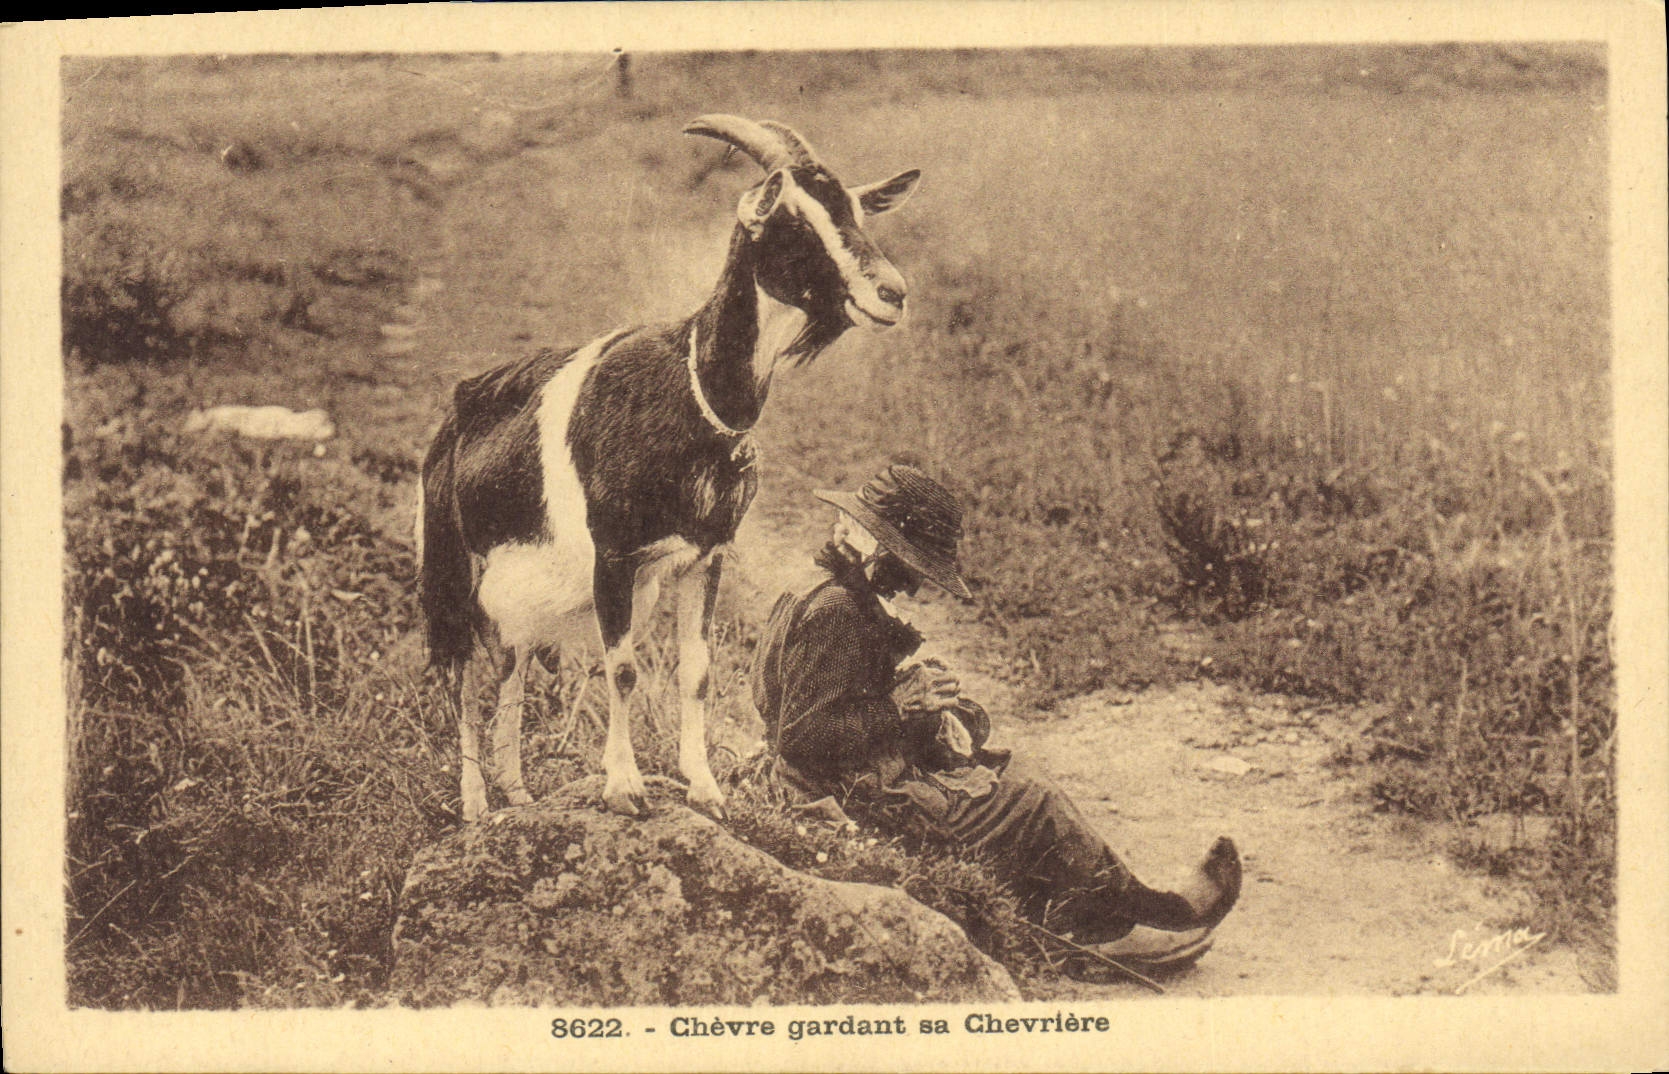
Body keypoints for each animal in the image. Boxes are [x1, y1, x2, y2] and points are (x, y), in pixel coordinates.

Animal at [418, 115, 921, 821]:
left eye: (854, 208)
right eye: (793, 221)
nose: (891, 294)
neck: (691, 393)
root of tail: (454, 421)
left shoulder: (703, 556)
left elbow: (697, 670)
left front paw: (705, 787)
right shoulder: (614, 555)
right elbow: (624, 667)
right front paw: (625, 788)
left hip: (518, 600)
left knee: (509, 669)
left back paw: (517, 791)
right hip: (452, 571)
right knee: (461, 674)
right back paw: (475, 807)